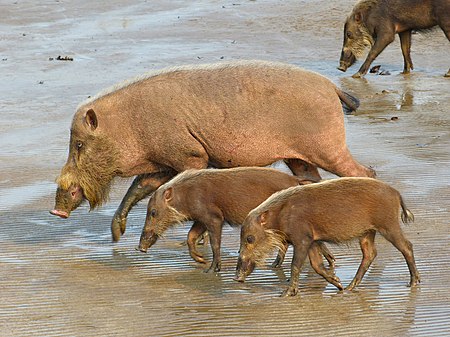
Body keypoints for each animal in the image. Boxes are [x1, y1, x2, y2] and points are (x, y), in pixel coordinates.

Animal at [49, 59, 374, 239]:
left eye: (79, 144)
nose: (56, 211)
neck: (130, 126)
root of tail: (333, 87)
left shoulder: (191, 155)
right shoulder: (161, 162)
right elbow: (139, 188)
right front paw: (116, 236)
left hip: (328, 147)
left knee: (364, 171)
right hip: (298, 158)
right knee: (313, 180)